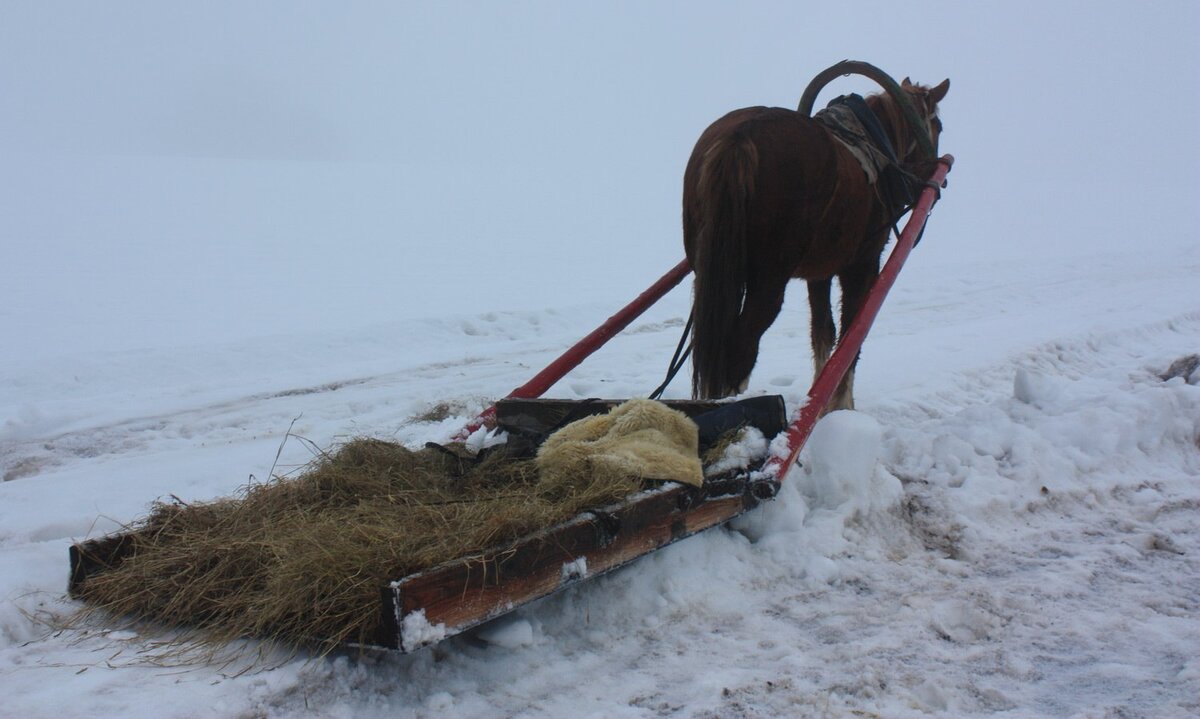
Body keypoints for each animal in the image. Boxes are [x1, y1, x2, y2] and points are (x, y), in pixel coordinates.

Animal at [686, 78, 945, 410]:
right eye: (938, 125)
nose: (935, 171)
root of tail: (739, 137)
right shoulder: (862, 264)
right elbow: (850, 334)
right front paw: (842, 405)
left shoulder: (819, 272)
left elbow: (823, 331)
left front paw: (820, 402)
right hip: (769, 280)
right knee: (741, 343)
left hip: (711, 272)